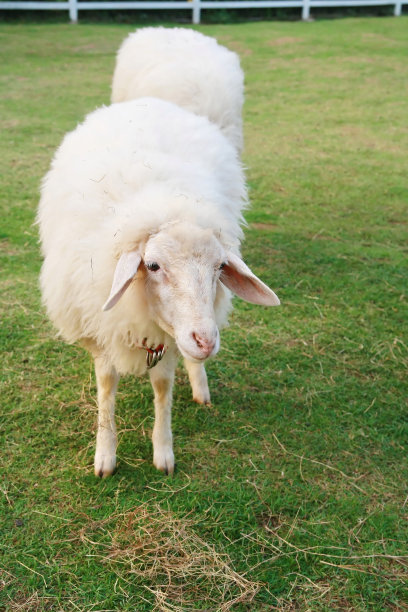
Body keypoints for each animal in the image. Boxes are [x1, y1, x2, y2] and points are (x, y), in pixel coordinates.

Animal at [37, 97, 278, 478]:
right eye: (152, 266)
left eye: (219, 267)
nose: (205, 340)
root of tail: (148, 100)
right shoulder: (99, 327)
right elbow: (106, 385)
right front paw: (105, 454)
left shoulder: (168, 336)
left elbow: (163, 387)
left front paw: (163, 452)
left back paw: (199, 385)